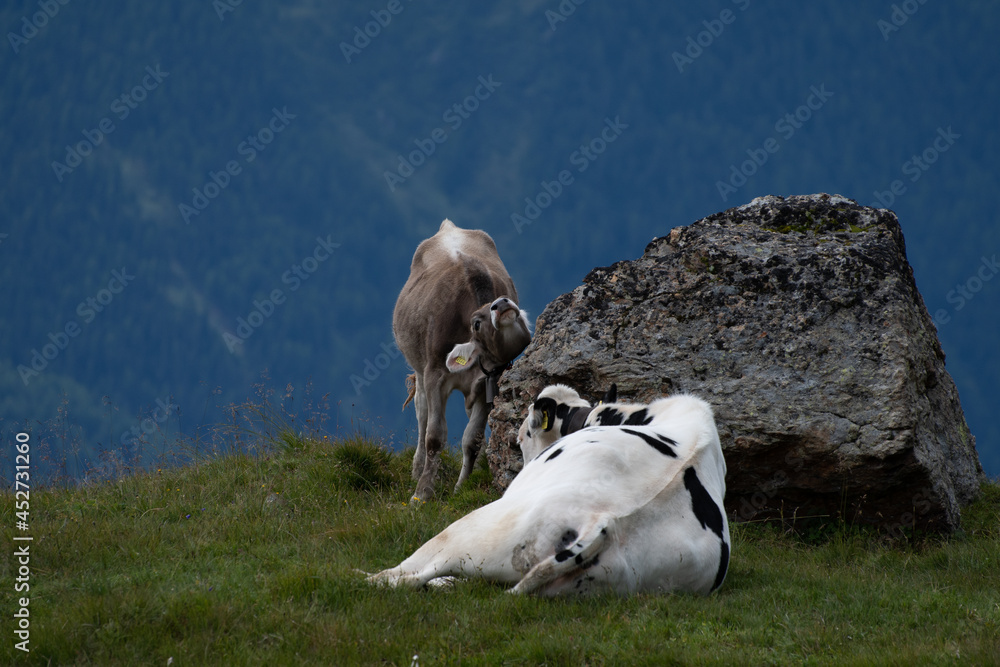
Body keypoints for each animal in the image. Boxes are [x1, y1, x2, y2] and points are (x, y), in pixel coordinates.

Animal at [393, 219, 531, 501]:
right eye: (477, 322)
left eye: (520, 317)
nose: (502, 303)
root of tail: (449, 227)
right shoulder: (435, 375)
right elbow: (434, 436)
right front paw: (422, 493)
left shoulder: (489, 384)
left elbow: (472, 439)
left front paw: (461, 486)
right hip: (419, 366)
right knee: (422, 414)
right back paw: (417, 468)